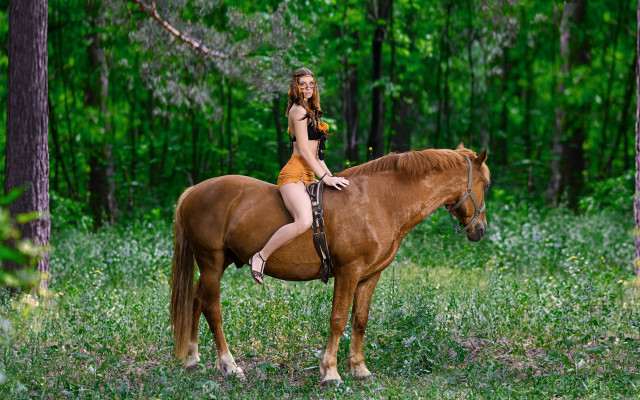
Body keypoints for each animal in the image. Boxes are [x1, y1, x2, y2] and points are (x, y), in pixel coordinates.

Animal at [170, 143, 490, 385]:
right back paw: (229, 365)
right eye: (486, 185)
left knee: (196, 300)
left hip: (218, 263)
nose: (480, 230)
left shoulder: (369, 276)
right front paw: (331, 372)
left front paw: (359, 368)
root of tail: (192, 192)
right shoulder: (348, 272)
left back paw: (192, 359)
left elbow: (360, 320)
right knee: (212, 308)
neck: (380, 201)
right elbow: (338, 320)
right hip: (211, 262)